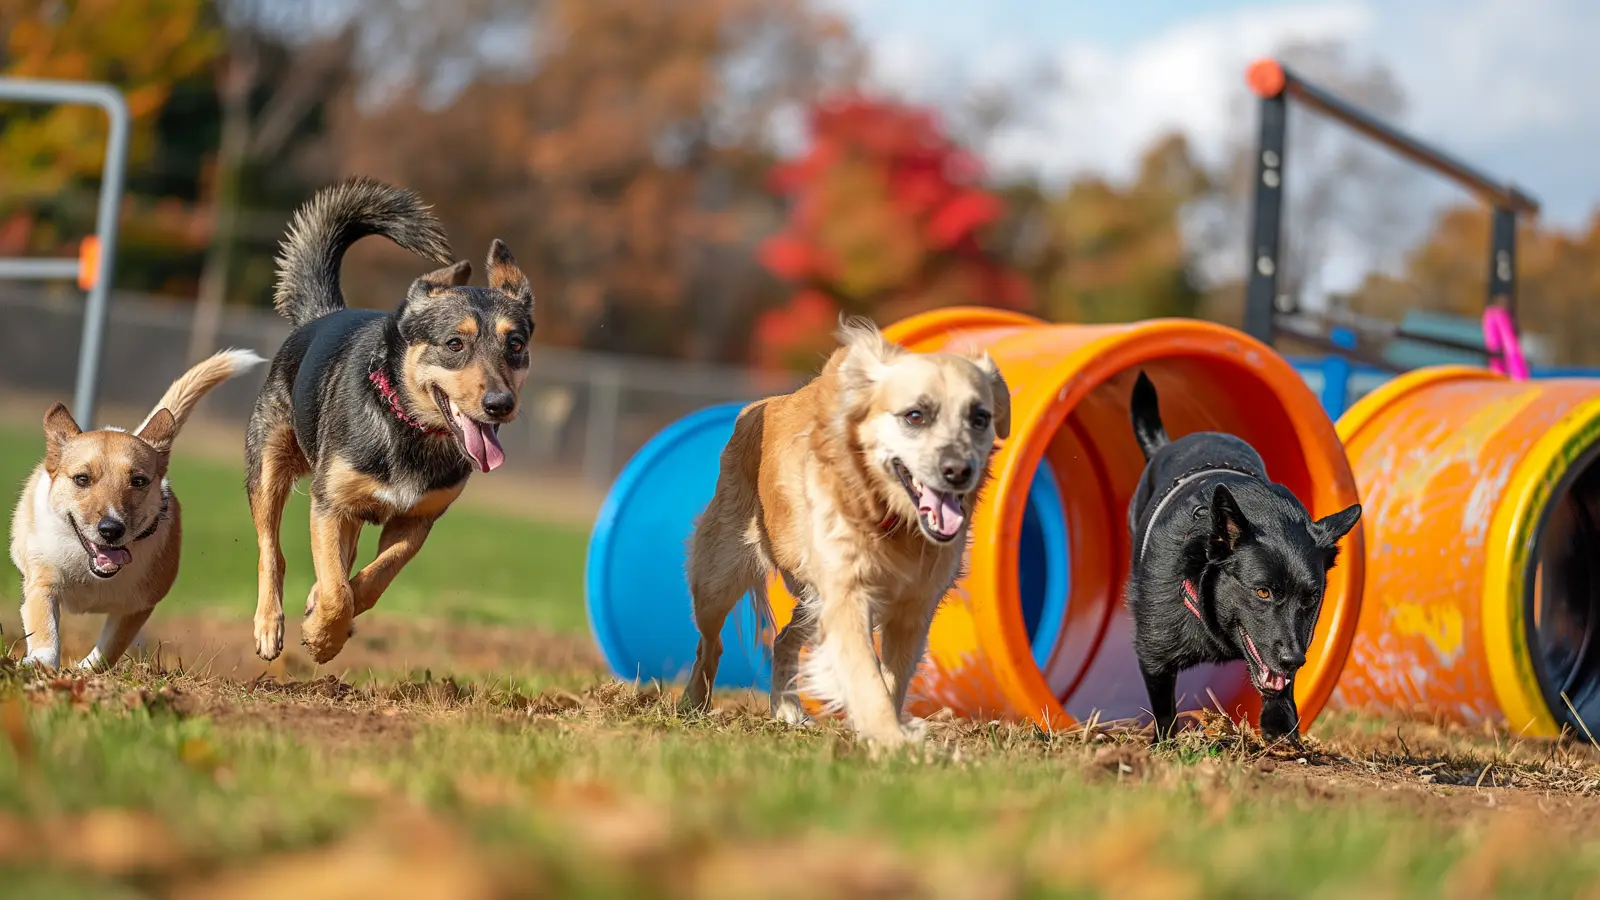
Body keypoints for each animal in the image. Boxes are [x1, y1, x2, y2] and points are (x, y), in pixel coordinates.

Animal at [9, 347, 262, 669]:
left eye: (139, 480)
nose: (111, 529)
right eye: (82, 478)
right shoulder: (42, 582)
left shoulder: (138, 607)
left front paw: (83, 669)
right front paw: (41, 662)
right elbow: (45, 629)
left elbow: (110, 649)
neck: (91, 572)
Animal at [244, 176, 537, 666]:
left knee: (341, 562)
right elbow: (338, 590)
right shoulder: (330, 503)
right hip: (267, 466)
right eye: (454, 344)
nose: (500, 403)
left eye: (514, 345)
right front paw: (322, 637)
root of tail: (322, 315)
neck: (406, 426)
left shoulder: (416, 520)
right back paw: (270, 625)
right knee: (271, 548)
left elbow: (371, 581)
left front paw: (325, 624)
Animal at [678, 318, 1004, 746]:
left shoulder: (913, 609)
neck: (890, 519)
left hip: (812, 597)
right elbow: (866, 676)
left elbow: (892, 680)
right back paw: (693, 704)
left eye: (979, 418)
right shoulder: (847, 594)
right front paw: (892, 740)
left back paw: (787, 710)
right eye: (915, 416)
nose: (958, 471)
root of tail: (754, 407)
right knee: (709, 645)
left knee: (783, 640)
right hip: (719, 580)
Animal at [1126, 371, 1363, 743]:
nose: (1294, 660)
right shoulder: (1154, 654)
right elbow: (1163, 708)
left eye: (1310, 599)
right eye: (1262, 592)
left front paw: (1280, 728)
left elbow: (1282, 691)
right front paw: (1163, 744)